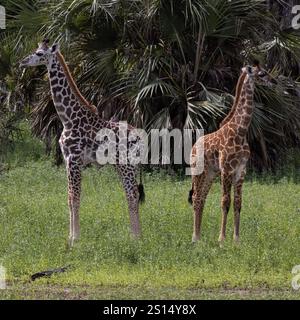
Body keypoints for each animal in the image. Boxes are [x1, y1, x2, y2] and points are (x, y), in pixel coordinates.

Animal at [19, 38, 144, 246]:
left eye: (39, 53)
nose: (22, 62)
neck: (67, 118)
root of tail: (141, 137)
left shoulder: (74, 159)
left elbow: (75, 198)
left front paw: (74, 239)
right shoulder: (66, 159)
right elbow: (69, 198)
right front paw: (69, 237)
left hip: (126, 165)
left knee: (132, 194)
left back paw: (135, 239)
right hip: (126, 166)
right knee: (131, 194)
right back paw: (135, 236)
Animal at [190, 62, 272, 242]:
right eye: (262, 74)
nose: (274, 82)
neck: (240, 131)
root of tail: (193, 146)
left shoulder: (241, 171)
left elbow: (238, 203)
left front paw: (236, 239)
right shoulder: (227, 170)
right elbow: (225, 202)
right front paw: (221, 239)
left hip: (210, 173)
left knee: (202, 198)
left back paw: (198, 236)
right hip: (198, 172)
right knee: (196, 198)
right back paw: (195, 237)